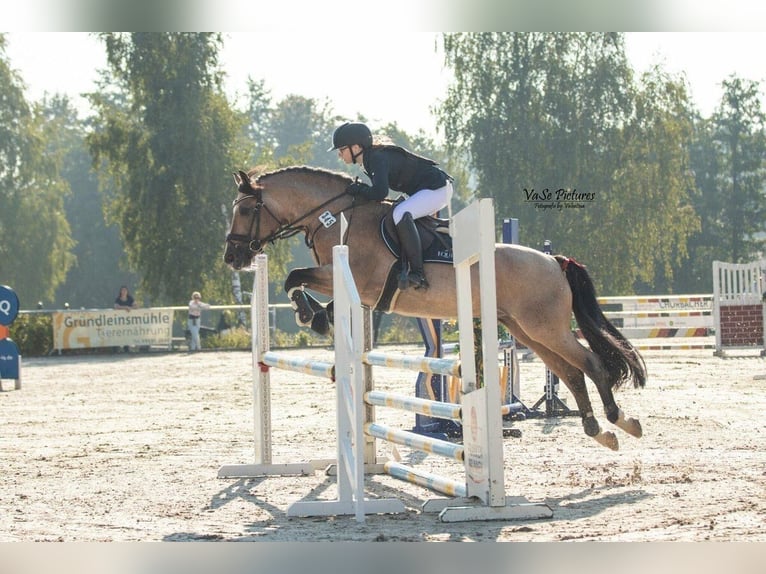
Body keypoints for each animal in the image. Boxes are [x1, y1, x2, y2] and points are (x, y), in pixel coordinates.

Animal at [224, 166, 647, 451]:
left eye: (244, 211)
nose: (233, 258)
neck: (336, 218)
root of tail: (554, 261)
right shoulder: (352, 287)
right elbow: (299, 281)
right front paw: (317, 315)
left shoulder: (355, 279)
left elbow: (294, 277)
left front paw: (310, 315)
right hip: (528, 331)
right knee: (571, 373)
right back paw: (600, 431)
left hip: (546, 328)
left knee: (591, 364)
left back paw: (622, 421)